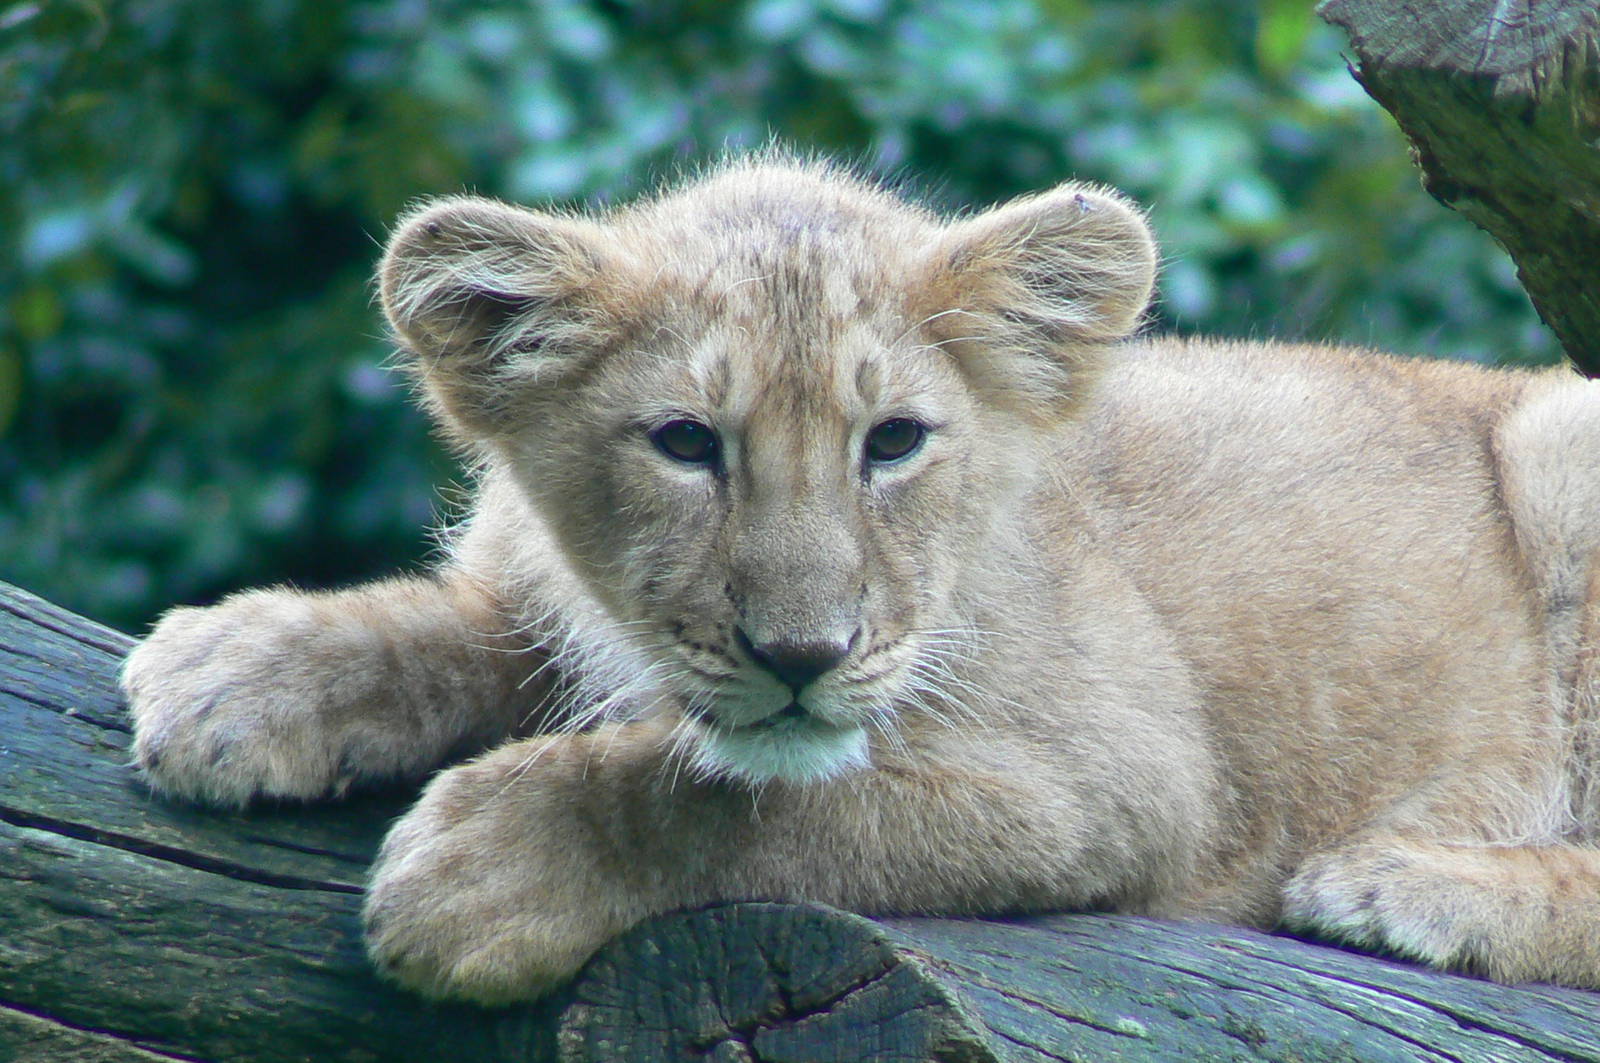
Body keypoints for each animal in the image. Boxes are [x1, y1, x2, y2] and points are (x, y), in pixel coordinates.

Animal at [119, 155, 1600, 1004]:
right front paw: (235, 671)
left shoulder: (1122, 778)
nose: (802, 654)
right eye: (685, 443)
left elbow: (747, 798)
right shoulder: (533, 606)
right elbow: (442, 629)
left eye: (892, 442)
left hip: (1557, 447)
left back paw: (1406, 886)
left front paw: (487, 867)